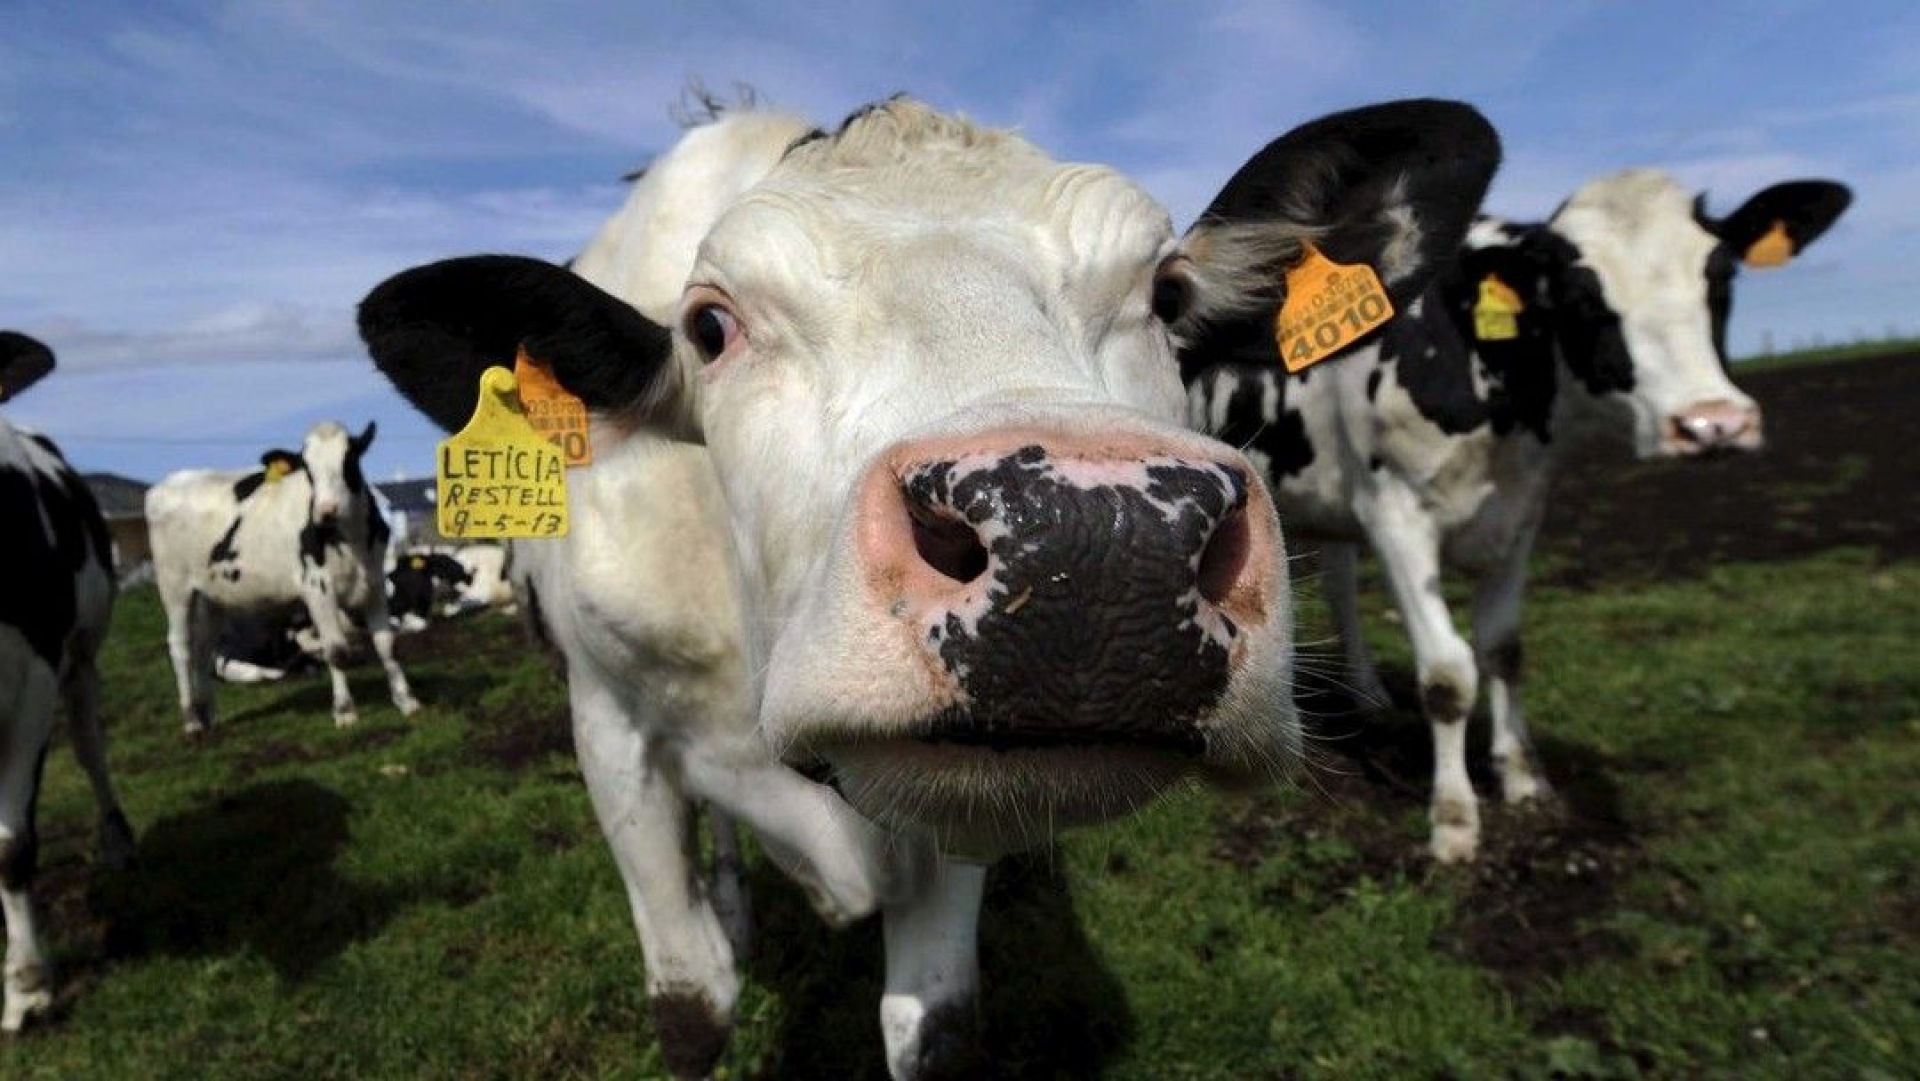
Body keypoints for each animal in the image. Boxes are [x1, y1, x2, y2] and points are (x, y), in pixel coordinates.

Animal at [146, 421, 420, 733]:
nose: (325, 511)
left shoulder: (374, 582)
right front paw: (344, 711)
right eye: (308, 470)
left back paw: (208, 715)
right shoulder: (317, 589)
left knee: (204, 649)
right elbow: (336, 650)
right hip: (174, 586)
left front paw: (406, 700)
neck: (352, 543)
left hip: (211, 596)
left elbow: (387, 644)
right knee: (181, 648)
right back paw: (191, 720)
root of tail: (167, 483)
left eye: (349, 460)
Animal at [359, 96, 1501, 1078]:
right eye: (710, 329)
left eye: (1169, 295)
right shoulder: (609, 726)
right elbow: (693, 1011)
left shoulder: (963, 789)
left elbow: (935, 1030)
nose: (1095, 544)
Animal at [1183, 168, 1850, 861]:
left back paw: (1366, 693)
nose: (1713, 423)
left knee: (1339, 584)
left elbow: (1503, 649)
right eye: (1579, 295)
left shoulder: (1521, 514)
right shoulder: (1397, 515)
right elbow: (1449, 675)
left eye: (1720, 277)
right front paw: (1454, 820)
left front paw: (1524, 780)